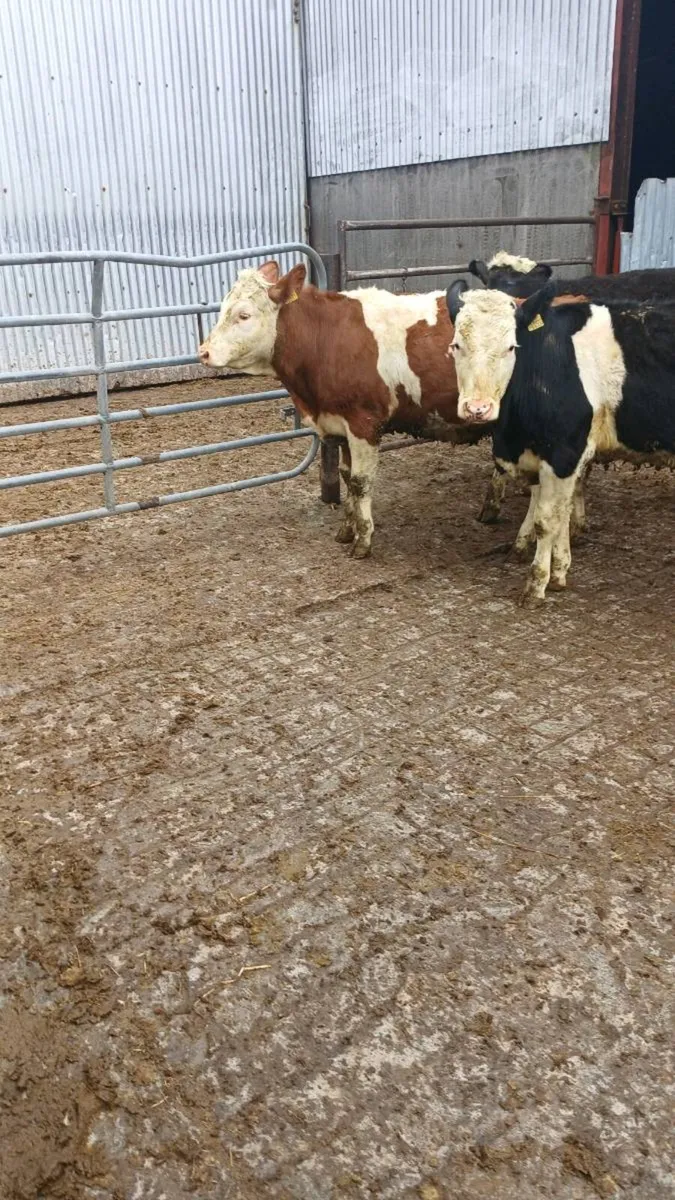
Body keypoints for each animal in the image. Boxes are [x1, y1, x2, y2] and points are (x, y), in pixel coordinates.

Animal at [198, 261, 490, 557]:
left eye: (244, 315)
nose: (203, 352)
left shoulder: (364, 423)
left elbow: (361, 481)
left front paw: (363, 541)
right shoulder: (340, 423)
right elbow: (347, 476)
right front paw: (347, 531)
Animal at [445, 279, 675, 605]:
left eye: (511, 347)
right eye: (456, 345)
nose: (478, 408)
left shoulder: (565, 453)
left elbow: (547, 520)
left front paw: (536, 584)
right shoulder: (548, 455)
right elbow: (560, 511)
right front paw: (558, 572)